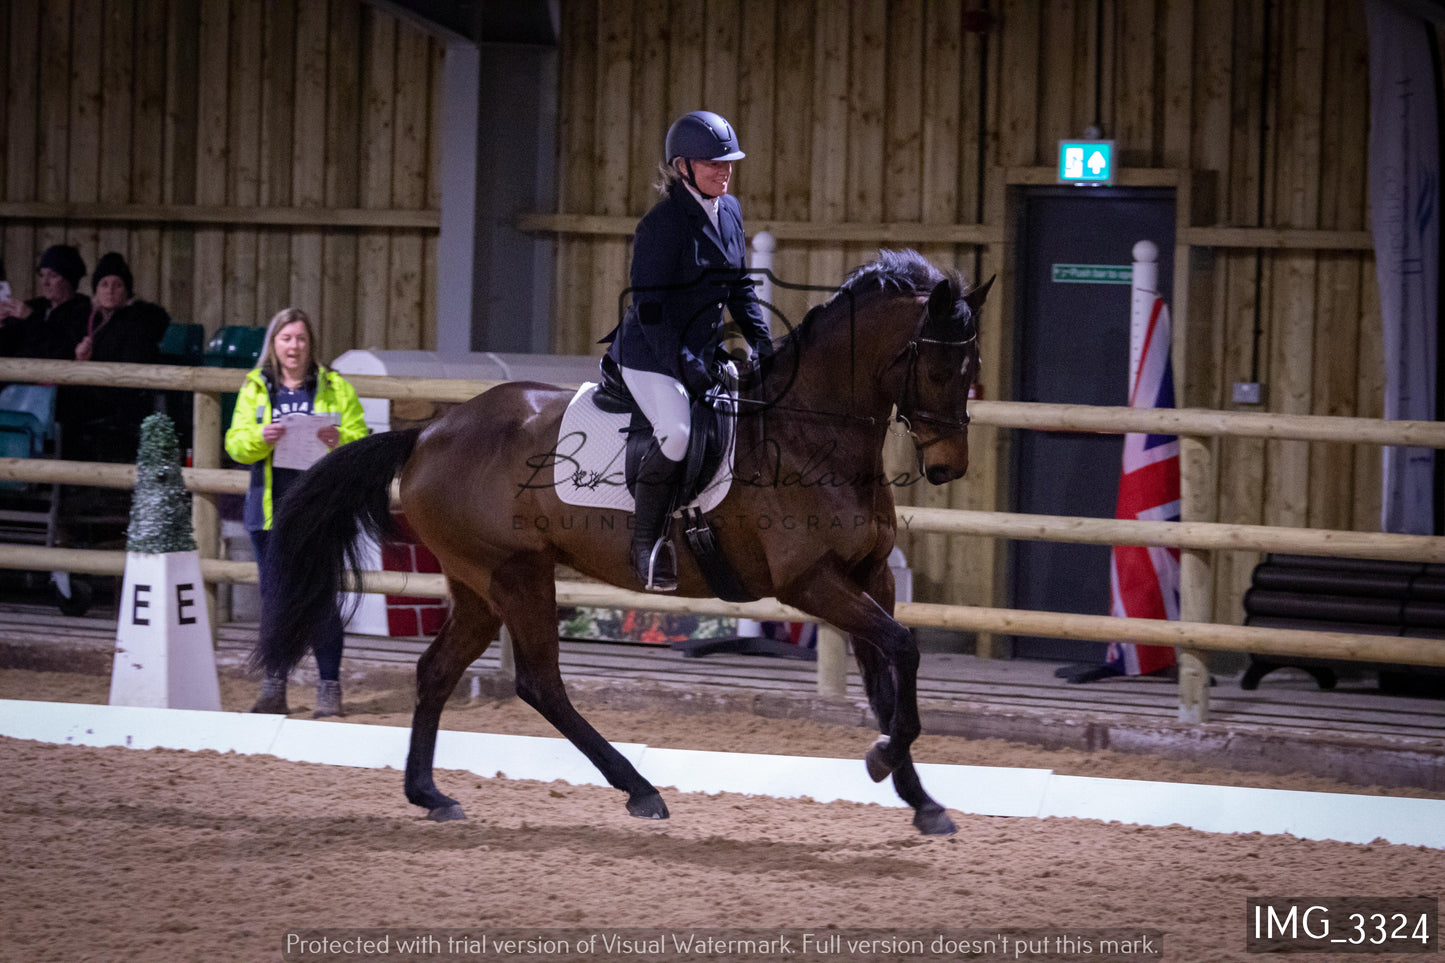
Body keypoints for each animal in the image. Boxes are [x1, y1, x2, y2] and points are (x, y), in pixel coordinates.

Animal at [254, 247, 988, 832]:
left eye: (973, 364)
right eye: (938, 368)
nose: (950, 466)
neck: (813, 432)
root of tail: (430, 431)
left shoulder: (869, 575)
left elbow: (888, 676)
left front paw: (920, 798)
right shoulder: (811, 581)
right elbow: (903, 648)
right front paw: (884, 759)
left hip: (477, 585)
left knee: (437, 670)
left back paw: (430, 794)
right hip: (516, 574)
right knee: (541, 683)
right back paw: (640, 790)